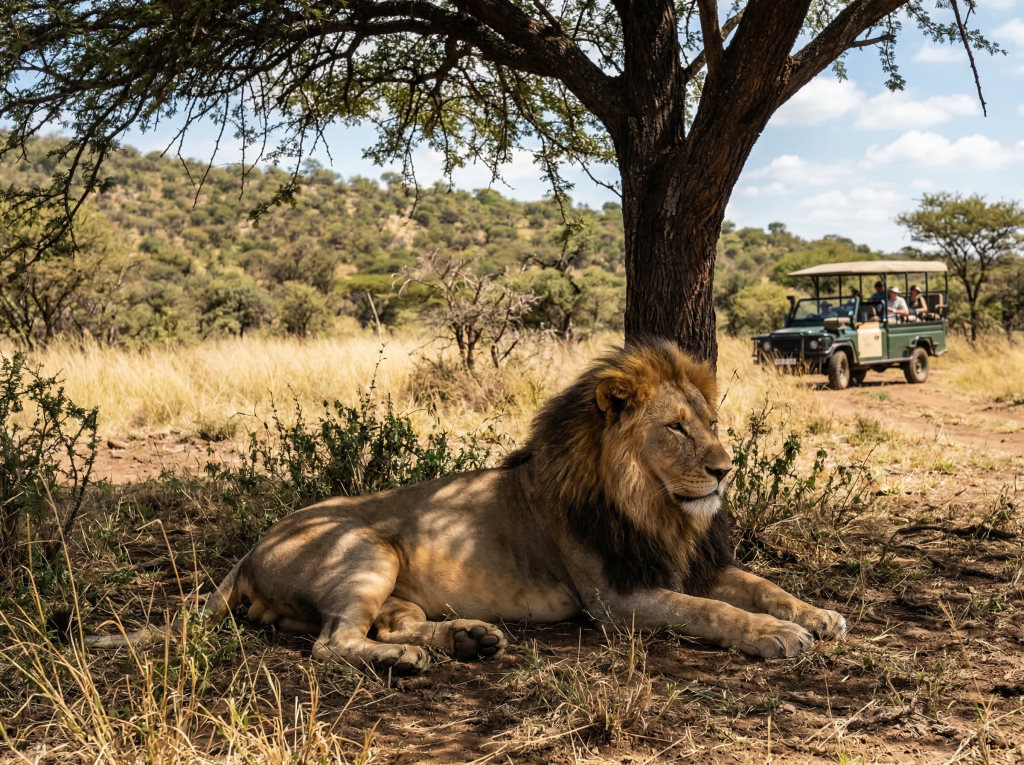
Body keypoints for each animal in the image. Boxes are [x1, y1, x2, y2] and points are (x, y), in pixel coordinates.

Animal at [88, 339, 845, 673]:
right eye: (676, 430)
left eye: (712, 423)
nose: (725, 468)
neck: (658, 508)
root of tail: (248, 550)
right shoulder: (618, 596)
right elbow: (712, 611)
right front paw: (778, 635)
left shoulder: (689, 561)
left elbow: (761, 584)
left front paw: (817, 615)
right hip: (365, 546)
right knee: (333, 642)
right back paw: (409, 661)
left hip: (389, 580)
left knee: (385, 623)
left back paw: (468, 639)